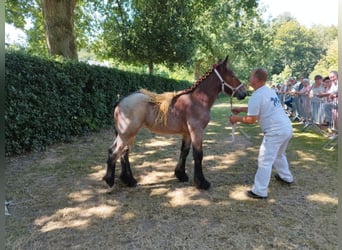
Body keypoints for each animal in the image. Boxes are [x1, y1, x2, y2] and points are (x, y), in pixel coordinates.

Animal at [103, 56, 247, 189]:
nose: (244, 93)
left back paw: (129, 180)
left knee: (124, 153)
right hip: (126, 134)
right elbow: (198, 154)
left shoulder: (187, 133)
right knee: (114, 151)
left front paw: (181, 174)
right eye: (233, 75)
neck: (197, 100)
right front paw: (201, 182)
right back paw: (110, 180)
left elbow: (185, 151)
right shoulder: (197, 131)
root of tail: (121, 100)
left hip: (128, 134)